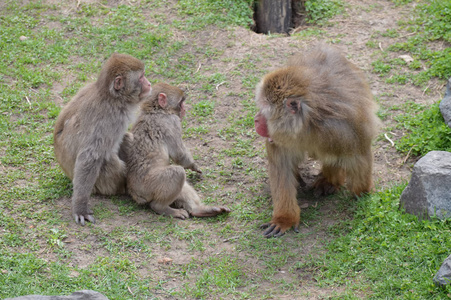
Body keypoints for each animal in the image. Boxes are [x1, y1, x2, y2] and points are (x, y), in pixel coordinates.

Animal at [53, 52, 153, 225]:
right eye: (141, 77)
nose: (148, 83)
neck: (112, 97)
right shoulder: (107, 120)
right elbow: (89, 157)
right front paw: (80, 207)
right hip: (101, 184)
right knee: (107, 160)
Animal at [127, 83, 233, 219]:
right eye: (181, 102)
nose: (184, 109)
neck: (155, 110)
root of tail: (135, 193)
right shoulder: (172, 122)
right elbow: (179, 155)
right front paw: (193, 165)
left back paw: (199, 210)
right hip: (148, 186)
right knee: (178, 172)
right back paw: (162, 208)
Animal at [254, 44, 382, 237]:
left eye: (263, 110)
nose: (256, 119)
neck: (306, 124)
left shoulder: (341, 129)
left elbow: (358, 155)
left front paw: (363, 192)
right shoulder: (279, 136)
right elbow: (281, 167)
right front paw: (285, 218)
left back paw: (330, 180)